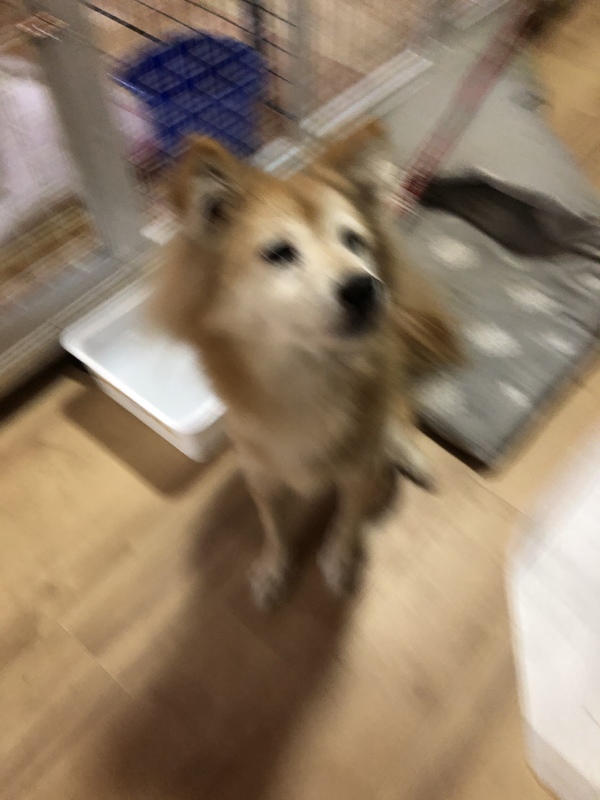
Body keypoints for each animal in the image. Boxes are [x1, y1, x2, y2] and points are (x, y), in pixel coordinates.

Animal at [155, 119, 462, 608]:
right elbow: (274, 527)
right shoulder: (261, 475)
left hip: (388, 414)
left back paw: (412, 455)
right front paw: (273, 568)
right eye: (280, 253)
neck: (305, 377)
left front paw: (338, 559)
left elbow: (347, 521)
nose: (364, 287)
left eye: (354, 241)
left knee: (400, 423)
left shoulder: (357, 472)